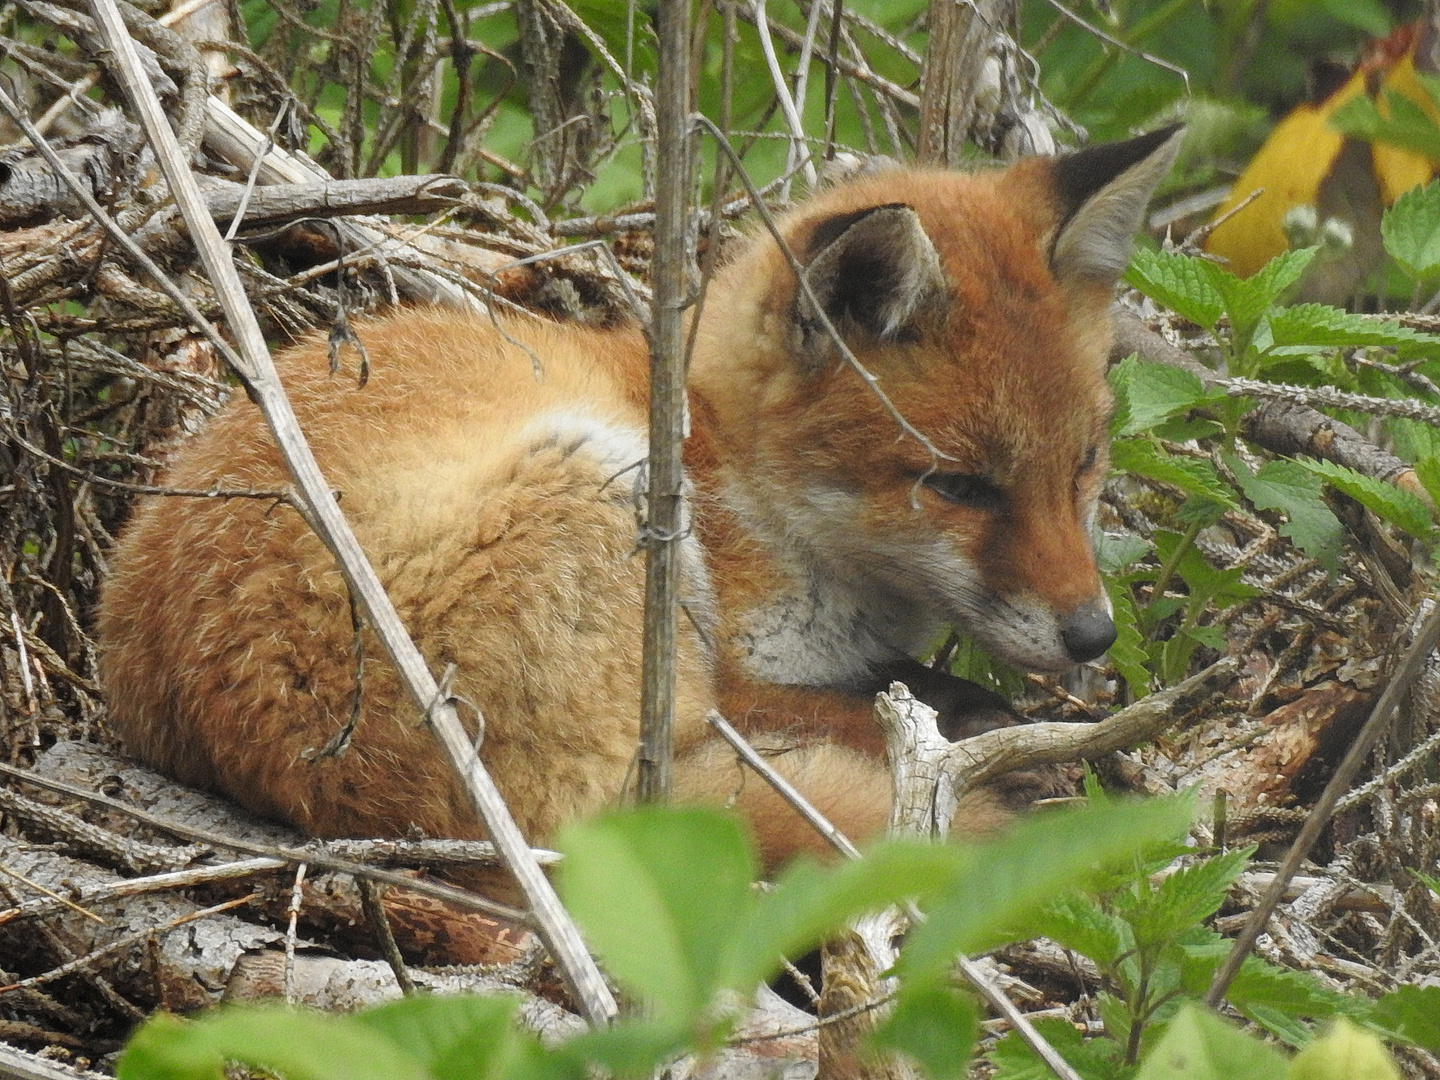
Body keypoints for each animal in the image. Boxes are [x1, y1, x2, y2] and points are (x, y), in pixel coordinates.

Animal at [98, 126, 1180, 875]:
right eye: (958, 484)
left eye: (1085, 462)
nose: (1091, 634)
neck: (732, 472)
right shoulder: (730, 664)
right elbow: (881, 707)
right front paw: (1000, 741)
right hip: (599, 494)